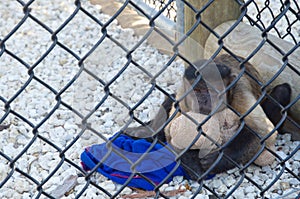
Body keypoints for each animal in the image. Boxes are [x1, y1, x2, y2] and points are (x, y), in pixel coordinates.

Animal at [121, 53, 290, 181]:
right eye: (198, 91)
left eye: (212, 91)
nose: (203, 100)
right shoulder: (184, 93)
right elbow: (172, 131)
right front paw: (194, 164)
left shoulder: (239, 90)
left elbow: (263, 131)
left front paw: (217, 161)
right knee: (171, 99)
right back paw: (150, 133)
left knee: (283, 90)